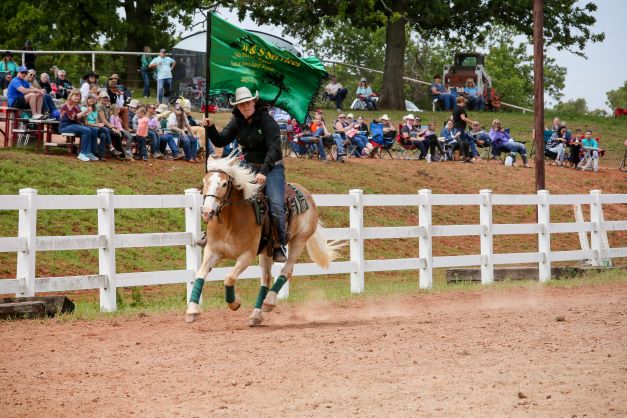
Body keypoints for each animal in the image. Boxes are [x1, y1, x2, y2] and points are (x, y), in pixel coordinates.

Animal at [186, 157, 344, 326]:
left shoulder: (247, 255)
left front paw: (235, 303)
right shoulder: (212, 251)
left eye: (223, 184)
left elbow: (229, 279)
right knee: (266, 280)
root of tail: (307, 194)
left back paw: (269, 302)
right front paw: (192, 311)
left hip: (299, 240)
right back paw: (256, 315)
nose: (207, 212)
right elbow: (200, 275)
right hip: (266, 252)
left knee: (286, 271)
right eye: (204, 181)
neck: (231, 221)